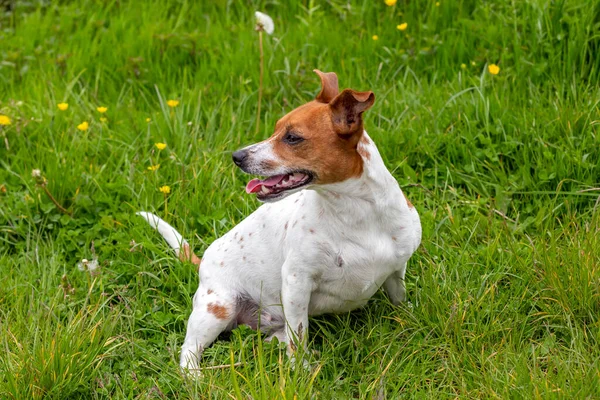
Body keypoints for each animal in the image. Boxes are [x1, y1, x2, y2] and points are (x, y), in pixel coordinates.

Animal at [138, 70, 422, 370]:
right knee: (188, 352)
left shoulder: (396, 270)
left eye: (293, 137)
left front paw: (411, 320)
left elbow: (399, 300)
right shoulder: (297, 282)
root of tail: (202, 259)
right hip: (217, 309)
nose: (236, 156)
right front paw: (301, 372)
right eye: (275, 129)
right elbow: (299, 336)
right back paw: (195, 377)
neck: (355, 212)